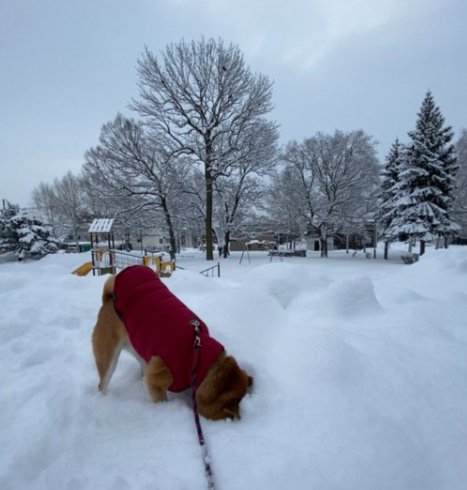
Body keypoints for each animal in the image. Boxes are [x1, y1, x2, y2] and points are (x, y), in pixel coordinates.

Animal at [91, 266, 252, 420]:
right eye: (225, 415)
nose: (234, 419)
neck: (197, 356)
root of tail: (108, 299)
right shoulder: (157, 378)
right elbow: (160, 397)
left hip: (140, 348)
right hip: (109, 356)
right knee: (102, 383)